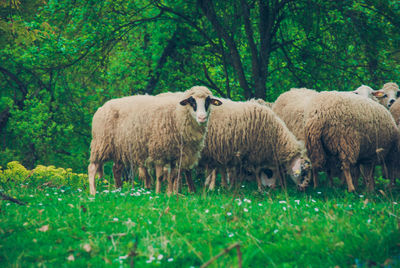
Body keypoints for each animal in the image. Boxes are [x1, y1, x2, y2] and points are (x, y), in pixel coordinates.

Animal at [87, 86, 222, 195]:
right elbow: (160, 176)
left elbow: (173, 176)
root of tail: (102, 107)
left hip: (119, 149)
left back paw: (118, 190)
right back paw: (93, 193)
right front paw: (158, 193)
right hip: (101, 144)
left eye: (208, 101)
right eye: (192, 101)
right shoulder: (158, 150)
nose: (202, 117)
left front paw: (170, 194)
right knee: (92, 168)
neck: (177, 114)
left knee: (116, 169)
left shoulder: (176, 154)